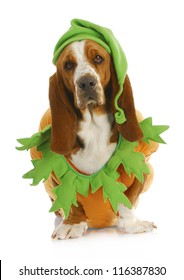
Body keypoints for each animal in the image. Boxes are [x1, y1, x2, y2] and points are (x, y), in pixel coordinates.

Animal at [30, 38, 158, 238]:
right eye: (68, 64)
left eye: (98, 58)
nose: (86, 82)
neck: (93, 128)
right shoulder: (59, 176)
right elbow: (70, 198)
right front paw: (72, 225)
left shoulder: (140, 167)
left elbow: (127, 199)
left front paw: (132, 225)